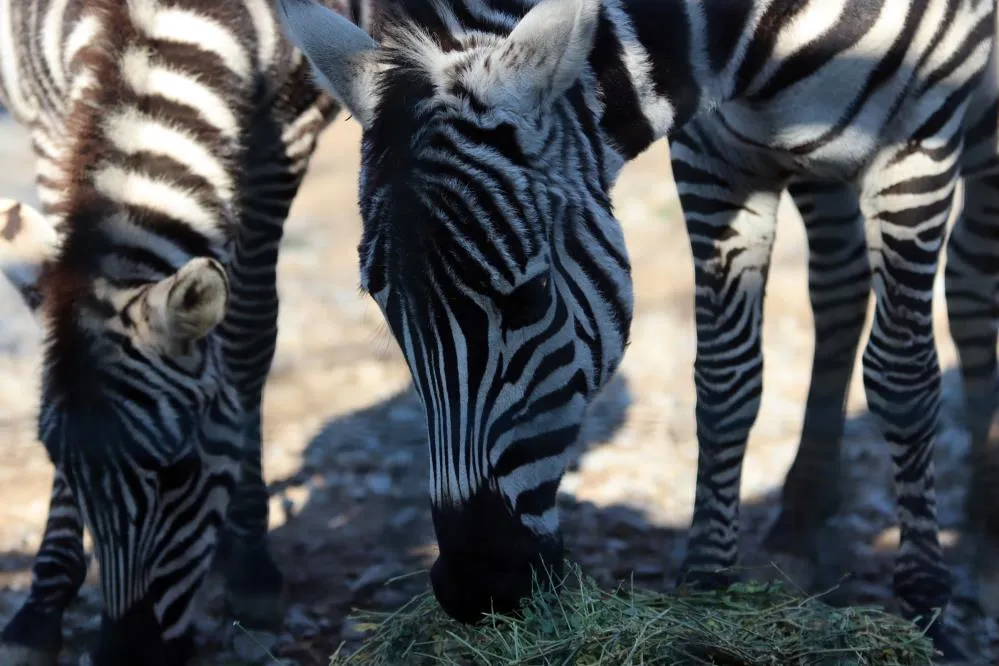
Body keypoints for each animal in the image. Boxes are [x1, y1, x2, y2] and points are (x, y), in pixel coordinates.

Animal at [0, 0, 358, 660]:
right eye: (64, 468)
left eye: (181, 472)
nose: (123, 657)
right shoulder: (48, 123)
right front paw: (41, 606)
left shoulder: (284, 140)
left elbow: (248, 336)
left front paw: (251, 562)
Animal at [278, 0, 999, 656]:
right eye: (386, 313)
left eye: (530, 299)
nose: (472, 586)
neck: (749, 35)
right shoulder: (714, 152)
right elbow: (725, 378)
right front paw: (708, 586)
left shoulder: (919, 133)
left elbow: (903, 377)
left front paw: (926, 606)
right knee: (840, 283)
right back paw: (804, 512)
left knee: (970, 280)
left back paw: (980, 520)